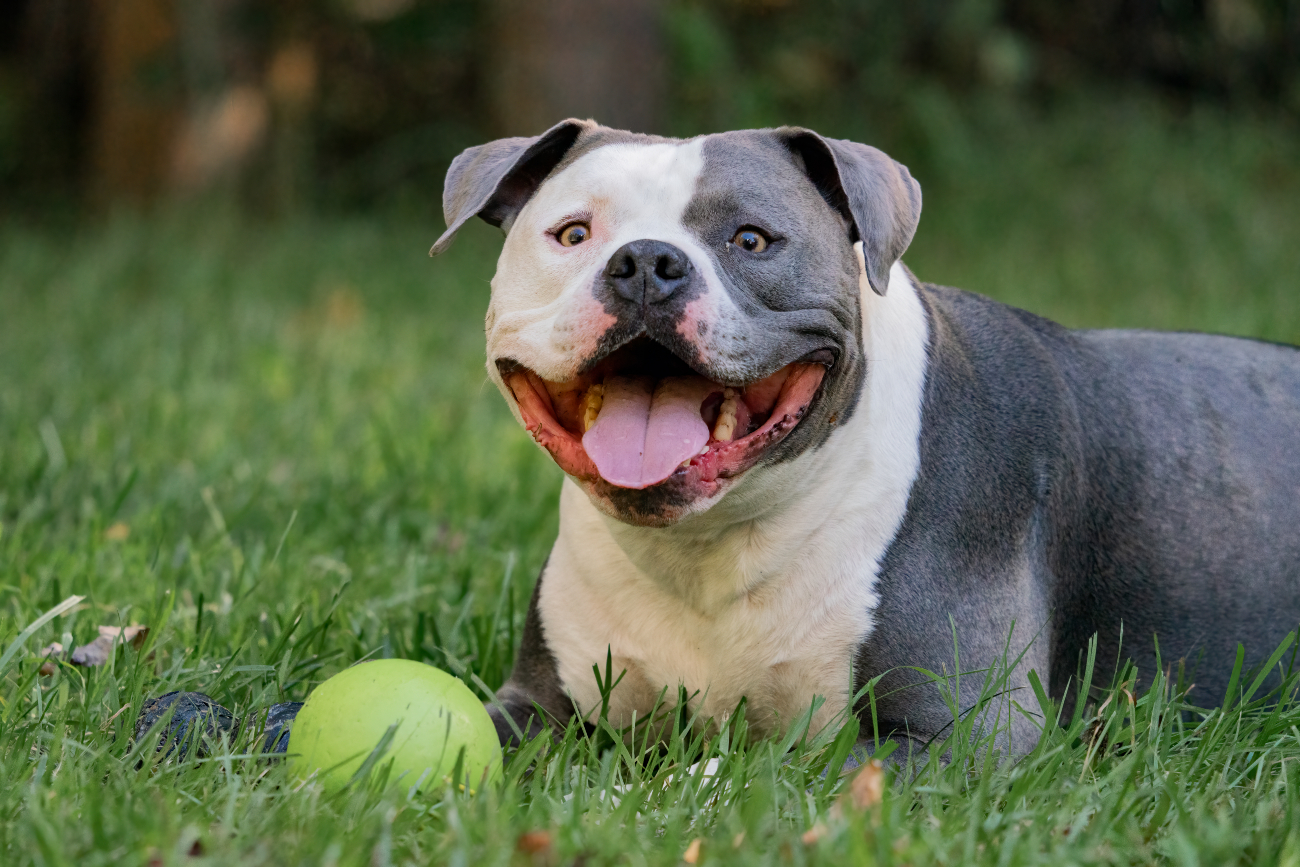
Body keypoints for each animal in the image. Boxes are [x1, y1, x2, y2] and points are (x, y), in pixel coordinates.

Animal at [428, 116, 1300, 759]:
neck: (708, 543)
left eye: (751, 239)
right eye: (573, 233)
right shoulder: (535, 703)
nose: (645, 261)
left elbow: (755, 774)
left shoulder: (964, 733)